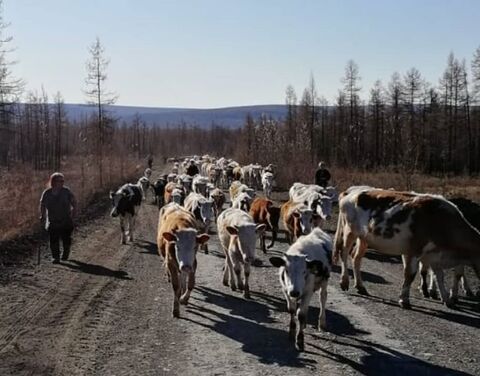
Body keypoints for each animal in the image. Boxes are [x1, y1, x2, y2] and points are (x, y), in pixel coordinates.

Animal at [336, 187, 480, 308]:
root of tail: (352, 190)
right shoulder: (415, 250)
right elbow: (410, 275)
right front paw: (404, 299)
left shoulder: (434, 254)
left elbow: (439, 276)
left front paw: (446, 299)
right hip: (349, 231)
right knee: (344, 252)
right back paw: (344, 281)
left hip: (364, 238)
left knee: (356, 258)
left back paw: (360, 286)